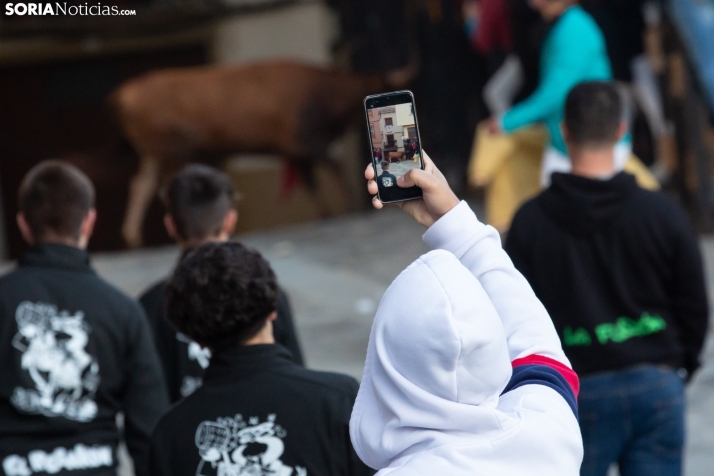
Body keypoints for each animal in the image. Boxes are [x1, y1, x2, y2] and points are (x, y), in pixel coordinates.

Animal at [110, 60, 384, 245]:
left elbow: (313, 180)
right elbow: (331, 166)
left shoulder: (297, 149)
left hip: (153, 151)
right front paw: (349, 205)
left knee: (141, 184)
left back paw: (133, 238)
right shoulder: (300, 141)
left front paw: (329, 212)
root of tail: (121, 95)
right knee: (161, 186)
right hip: (171, 148)